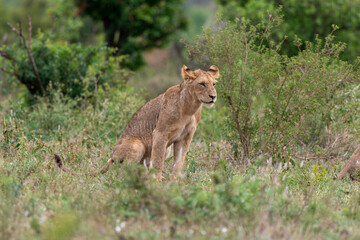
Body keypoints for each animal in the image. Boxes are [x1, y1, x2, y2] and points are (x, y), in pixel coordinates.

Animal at [56, 64, 219, 181]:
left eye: (214, 84)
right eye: (202, 84)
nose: (213, 96)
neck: (190, 107)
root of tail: (112, 156)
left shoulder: (185, 138)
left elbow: (178, 163)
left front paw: (173, 183)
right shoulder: (160, 134)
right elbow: (158, 163)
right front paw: (157, 184)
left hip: (162, 151)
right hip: (137, 146)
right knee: (122, 170)